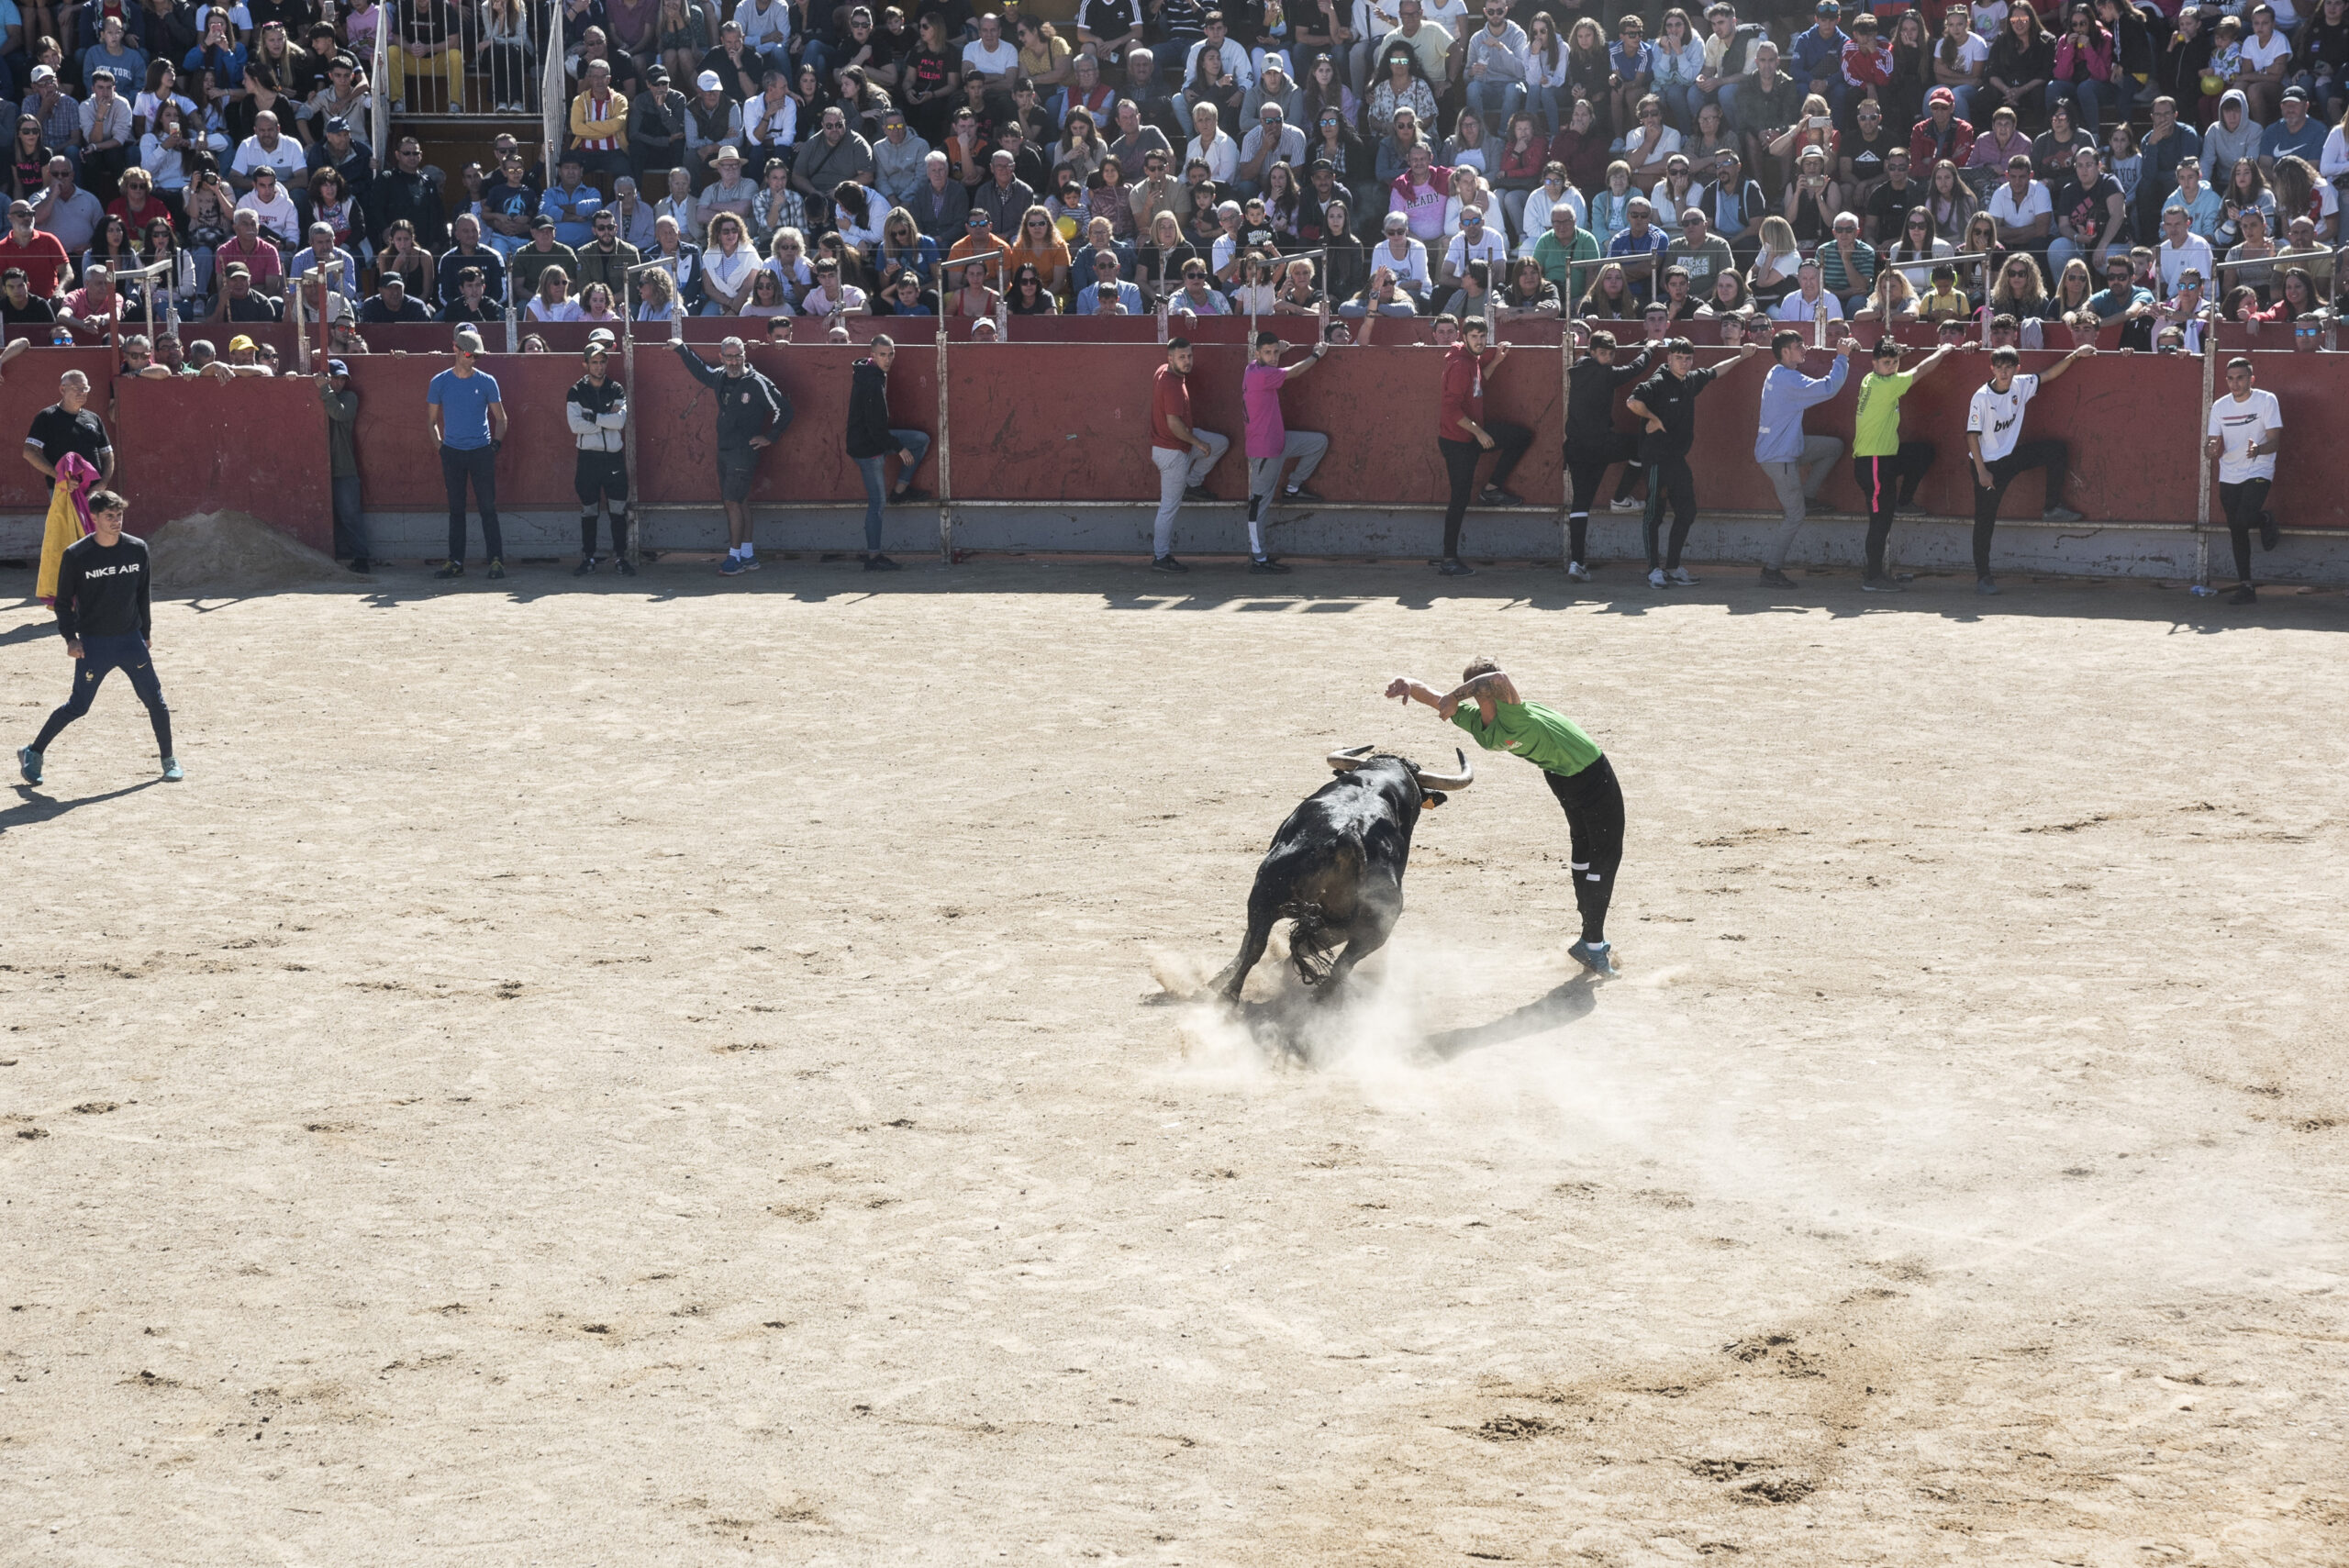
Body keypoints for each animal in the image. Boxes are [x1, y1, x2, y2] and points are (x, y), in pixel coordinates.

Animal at [1211, 751, 1465, 1004]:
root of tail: (1349, 834)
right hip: (1373, 922)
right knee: (1338, 962)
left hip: (1267, 892)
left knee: (1260, 945)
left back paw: (1230, 992)